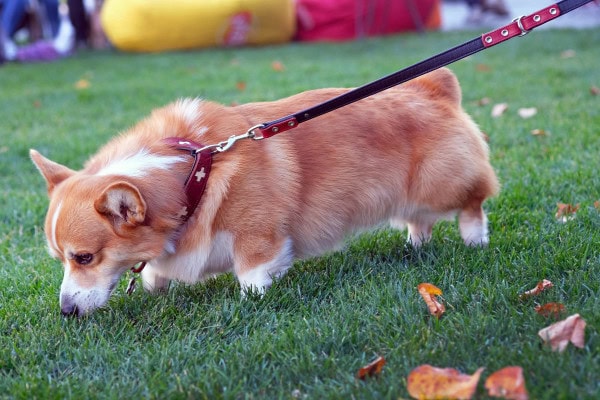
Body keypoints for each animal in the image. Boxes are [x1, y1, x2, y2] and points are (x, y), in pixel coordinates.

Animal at [30, 69, 500, 318]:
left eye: (84, 258)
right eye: (62, 259)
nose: (66, 312)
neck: (192, 174)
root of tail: (434, 86)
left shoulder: (257, 236)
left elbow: (252, 273)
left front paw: (250, 301)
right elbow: (155, 271)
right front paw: (154, 285)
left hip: (442, 184)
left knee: (472, 202)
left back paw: (475, 240)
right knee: (419, 222)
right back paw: (414, 247)